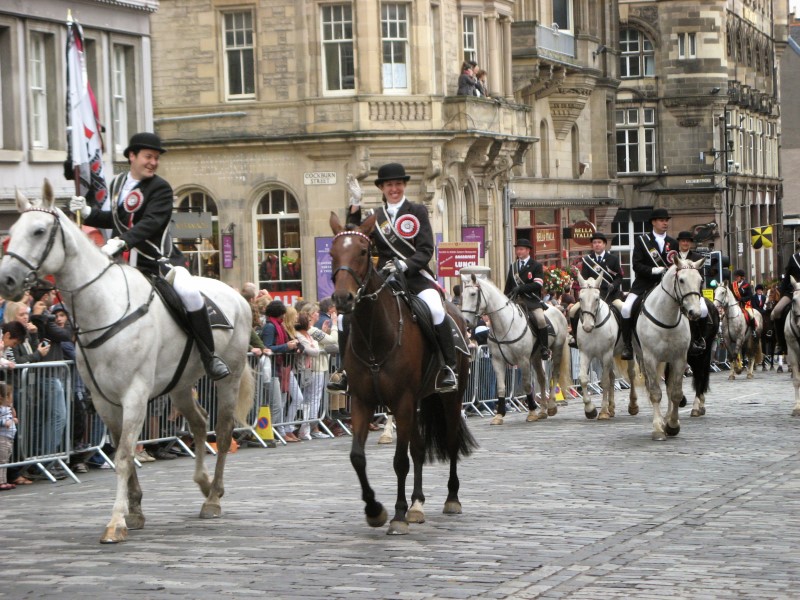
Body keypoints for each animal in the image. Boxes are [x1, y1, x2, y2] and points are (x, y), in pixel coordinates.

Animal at [0, 179, 253, 544]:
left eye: (38, 230)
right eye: (13, 230)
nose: (7, 280)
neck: (104, 307)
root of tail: (237, 295)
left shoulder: (134, 394)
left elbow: (122, 455)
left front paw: (116, 521)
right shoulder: (103, 400)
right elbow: (125, 450)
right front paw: (134, 510)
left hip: (228, 377)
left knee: (221, 427)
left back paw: (214, 498)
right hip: (180, 384)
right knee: (199, 423)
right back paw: (204, 485)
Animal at [326, 211, 476, 536]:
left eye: (363, 251)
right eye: (332, 253)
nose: (343, 299)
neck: (375, 336)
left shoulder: (403, 400)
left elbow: (399, 461)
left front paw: (396, 515)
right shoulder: (363, 401)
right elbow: (358, 457)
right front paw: (375, 510)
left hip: (450, 397)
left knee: (450, 441)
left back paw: (451, 499)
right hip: (418, 400)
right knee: (418, 448)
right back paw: (417, 505)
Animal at [460, 268, 572, 426]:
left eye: (473, 294)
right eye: (462, 295)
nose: (466, 322)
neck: (504, 325)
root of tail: (558, 312)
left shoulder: (523, 360)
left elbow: (527, 385)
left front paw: (531, 413)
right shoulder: (497, 361)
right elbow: (501, 388)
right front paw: (499, 415)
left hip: (556, 350)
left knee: (554, 374)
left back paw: (550, 406)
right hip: (536, 356)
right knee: (542, 378)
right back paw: (543, 411)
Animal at [576, 274, 636, 420]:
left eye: (596, 299)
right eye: (580, 298)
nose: (587, 326)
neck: (595, 328)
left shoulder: (606, 354)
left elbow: (604, 381)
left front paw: (603, 412)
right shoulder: (585, 353)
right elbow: (584, 379)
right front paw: (590, 409)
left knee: (631, 374)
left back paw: (632, 406)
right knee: (613, 376)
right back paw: (611, 408)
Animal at [632, 256, 708, 440]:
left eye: (700, 281)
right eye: (681, 280)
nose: (694, 313)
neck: (666, 317)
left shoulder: (679, 358)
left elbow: (675, 393)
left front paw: (672, 425)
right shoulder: (650, 359)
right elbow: (655, 393)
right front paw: (658, 429)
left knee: (670, 387)